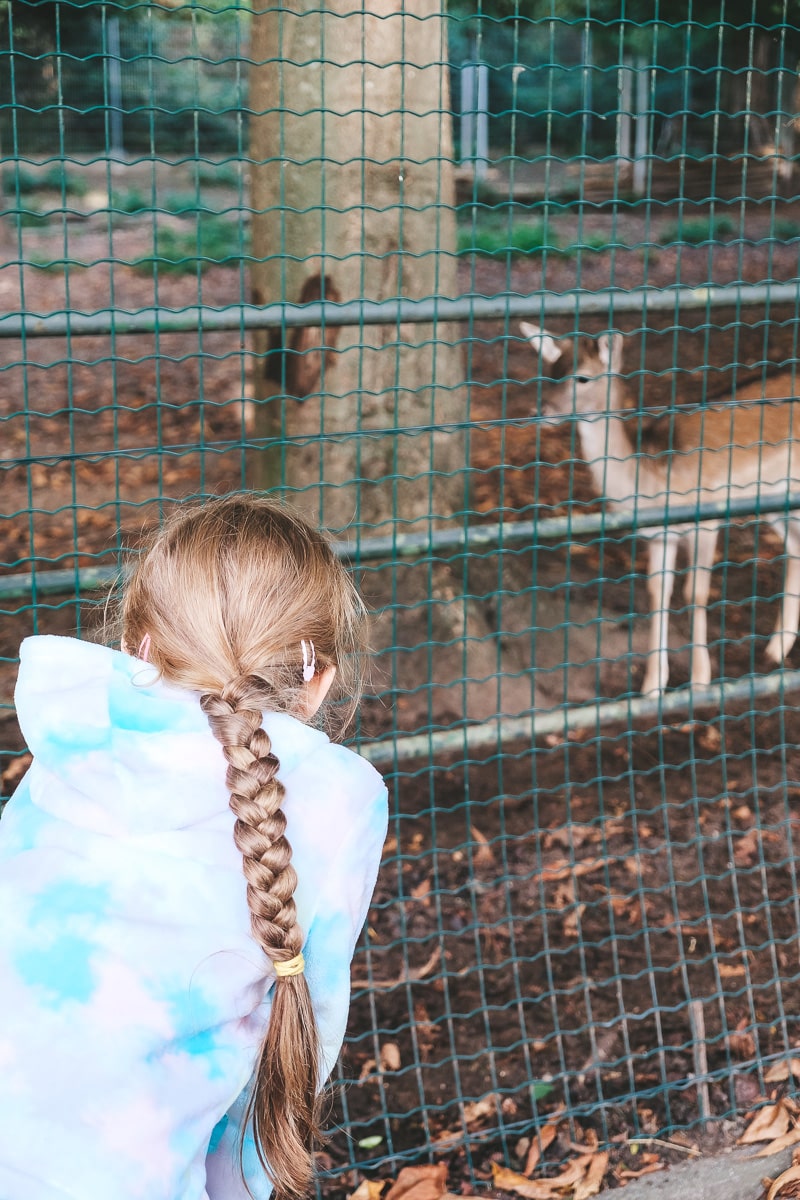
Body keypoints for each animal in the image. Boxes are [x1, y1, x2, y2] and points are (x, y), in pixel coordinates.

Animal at [520, 321, 800, 696]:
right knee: (795, 546)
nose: (540, 412)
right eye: (549, 372)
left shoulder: (707, 518)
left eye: (582, 378)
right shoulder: (657, 535)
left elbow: (695, 592)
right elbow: (657, 593)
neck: (652, 483)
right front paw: (653, 686)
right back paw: (776, 647)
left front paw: (700, 680)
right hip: (774, 499)